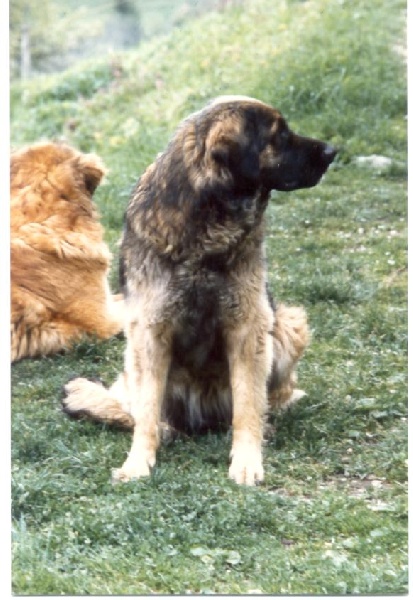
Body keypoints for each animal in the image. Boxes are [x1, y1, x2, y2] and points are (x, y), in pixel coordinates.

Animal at [62, 96, 336, 485]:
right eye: (279, 136)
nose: (332, 151)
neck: (207, 223)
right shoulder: (149, 331)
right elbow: (146, 411)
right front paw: (138, 461)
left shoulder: (249, 326)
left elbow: (248, 405)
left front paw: (247, 460)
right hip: (134, 357)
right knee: (138, 410)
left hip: (286, 324)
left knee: (270, 397)